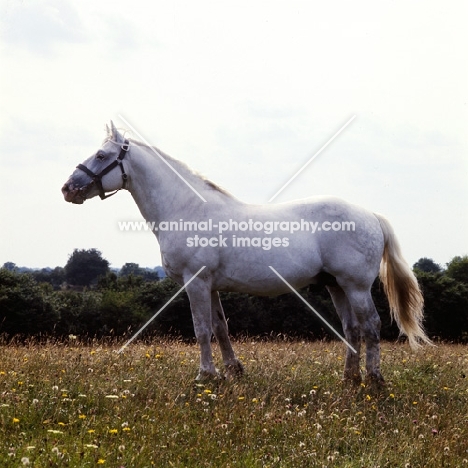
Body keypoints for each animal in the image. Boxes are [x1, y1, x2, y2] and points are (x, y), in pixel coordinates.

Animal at [62, 120, 432, 384]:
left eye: (100, 156)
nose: (68, 189)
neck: (186, 209)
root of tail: (370, 215)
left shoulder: (195, 282)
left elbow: (201, 329)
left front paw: (205, 376)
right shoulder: (210, 286)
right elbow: (221, 328)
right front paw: (233, 371)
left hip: (355, 285)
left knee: (371, 325)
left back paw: (374, 378)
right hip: (335, 285)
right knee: (352, 328)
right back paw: (349, 378)